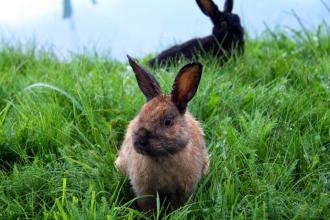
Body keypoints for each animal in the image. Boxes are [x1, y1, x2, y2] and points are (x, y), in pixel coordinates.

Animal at [114, 55, 210, 211]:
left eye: (168, 121)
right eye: (140, 115)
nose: (139, 140)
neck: (163, 156)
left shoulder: (183, 190)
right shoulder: (145, 190)